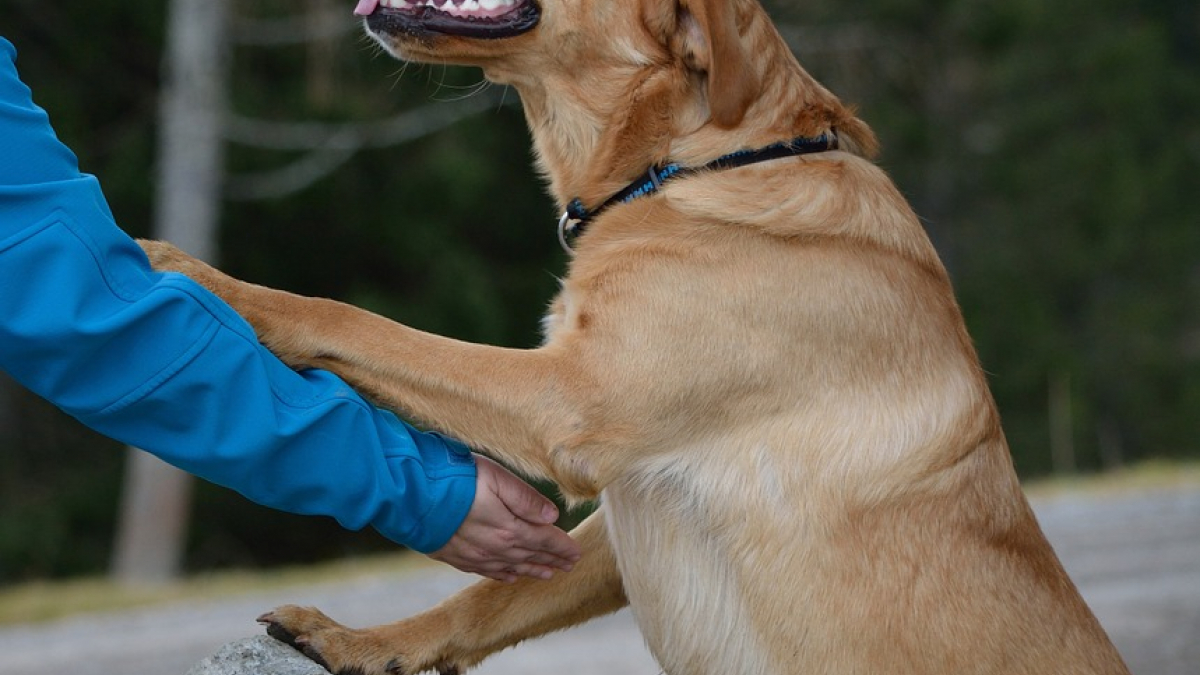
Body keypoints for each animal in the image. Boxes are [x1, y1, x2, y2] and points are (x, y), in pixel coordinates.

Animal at [142, 0, 1132, 667]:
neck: (698, 162)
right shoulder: (622, 499)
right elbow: (485, 598)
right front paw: (364, 641)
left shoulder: (568, 402)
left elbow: (346, 317)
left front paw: (199, 276)